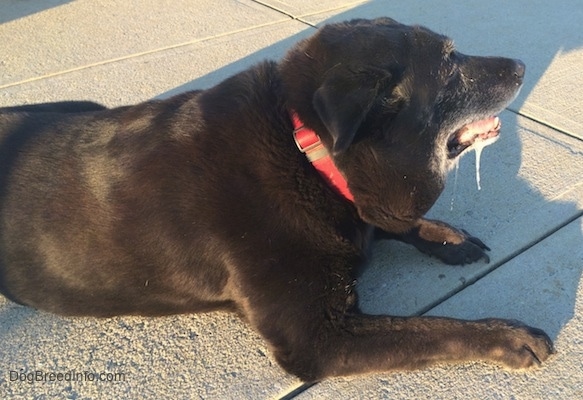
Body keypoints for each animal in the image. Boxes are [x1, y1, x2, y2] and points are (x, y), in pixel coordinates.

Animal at [0, 18, 556, 382]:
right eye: (449, 63)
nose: (522, 64)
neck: (308, 151)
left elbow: (387, 221)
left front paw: (448, 237)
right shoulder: (318, 338)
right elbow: (433, 329)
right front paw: (505, 336)